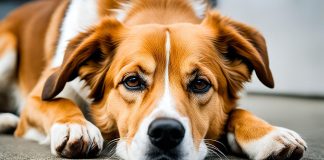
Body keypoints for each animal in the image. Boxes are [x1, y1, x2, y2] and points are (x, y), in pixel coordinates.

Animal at [0, 0, 306, 159]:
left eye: (200, 84)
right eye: (132, 81)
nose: (166, 133)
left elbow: (238, 111)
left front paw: (269, 133)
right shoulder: (37, 98)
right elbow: (60, 102)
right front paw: (77, 127)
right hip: (7, 47)